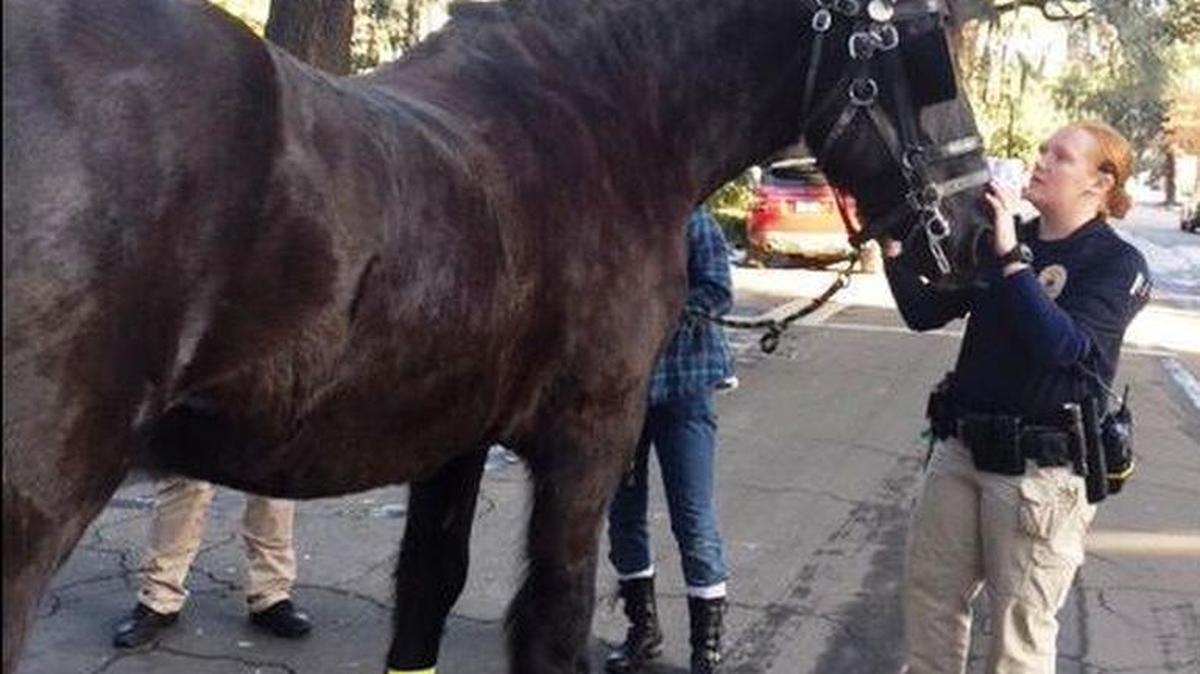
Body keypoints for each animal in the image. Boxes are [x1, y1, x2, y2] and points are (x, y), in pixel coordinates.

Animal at [1, 0, 993, 671]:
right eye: (928, 47)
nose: (983, 231)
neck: (603, 122)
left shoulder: (452, 439)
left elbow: (427, 595)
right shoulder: (587, 444)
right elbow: (552, 622)